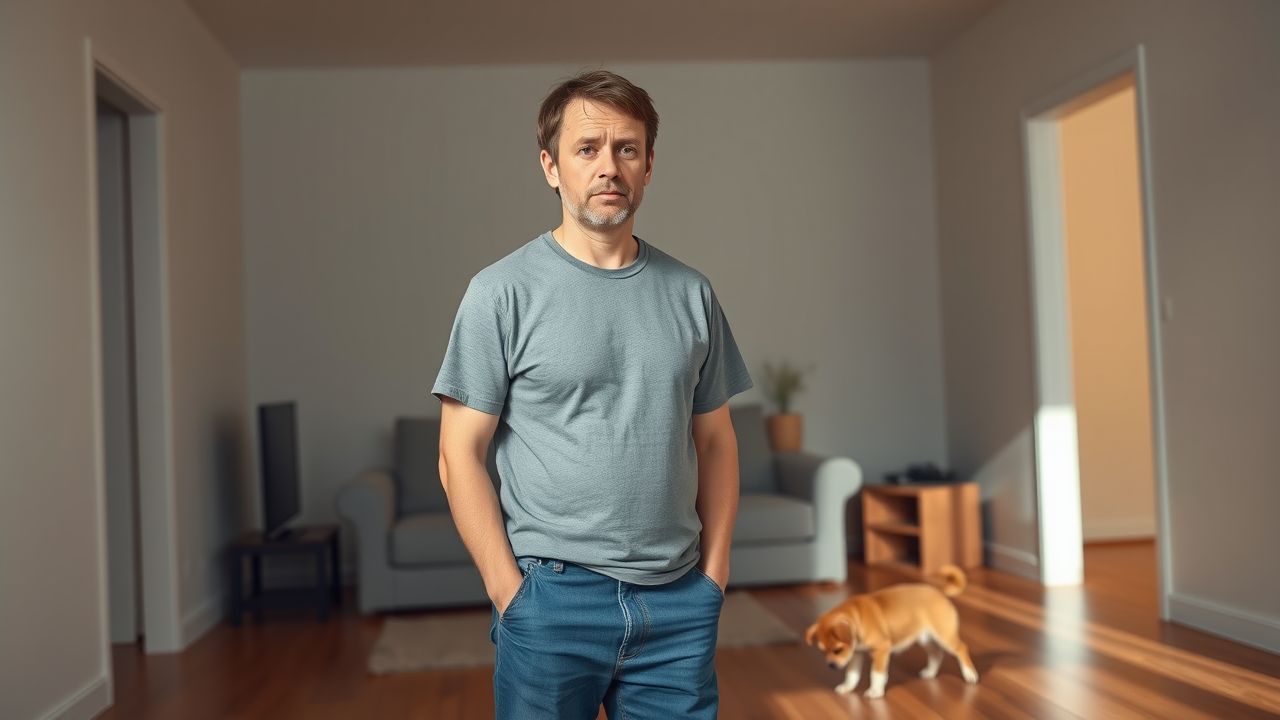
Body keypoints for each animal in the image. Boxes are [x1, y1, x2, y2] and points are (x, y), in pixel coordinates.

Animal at [798, 561, 977, 696]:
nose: (831, 666)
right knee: (936, 654)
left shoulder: (881, 649)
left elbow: (876, 672)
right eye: (822, 651)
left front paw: (876, 691)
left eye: (837, 650)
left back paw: (970, 674)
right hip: (925, 638)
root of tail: (939, 592)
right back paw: (930, 673)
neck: (858, 618)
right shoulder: (856, 654)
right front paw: (847, 687)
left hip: (944, 636)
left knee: (961, 649)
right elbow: (852, 675)